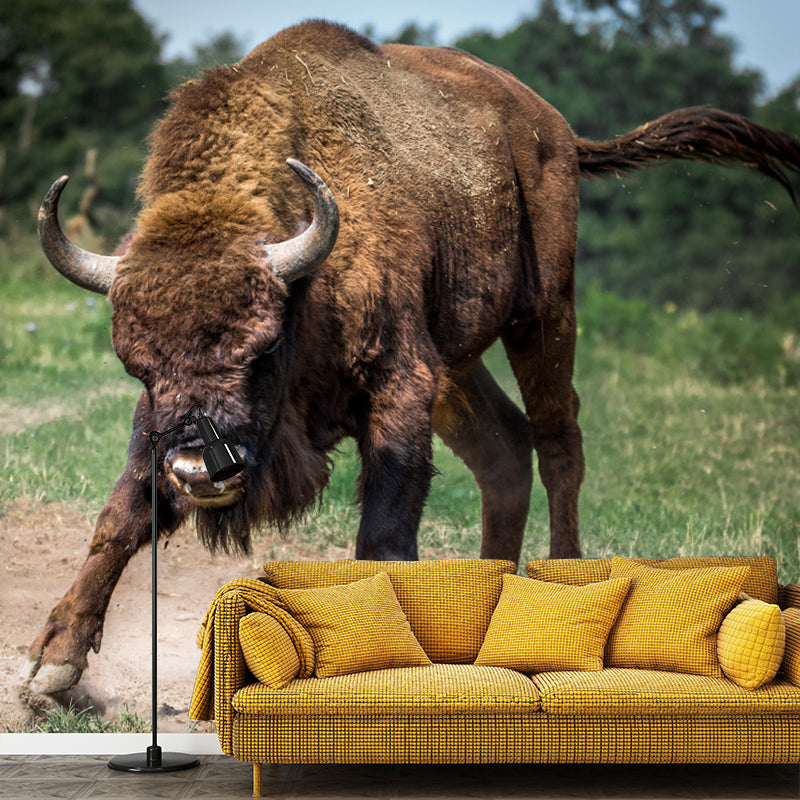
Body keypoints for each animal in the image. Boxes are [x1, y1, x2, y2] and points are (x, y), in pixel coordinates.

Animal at [26, 20, 800, 694]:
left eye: (263, 347)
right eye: (137, 364)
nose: (198, 470)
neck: (306, 276)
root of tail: (552, 129)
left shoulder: (400, 386)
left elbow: (384, 537)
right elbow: (122, 514)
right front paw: (51, 668)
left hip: (544, 314)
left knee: (558, 442)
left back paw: (561, 571)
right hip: (458, 364)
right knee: (503, 449)